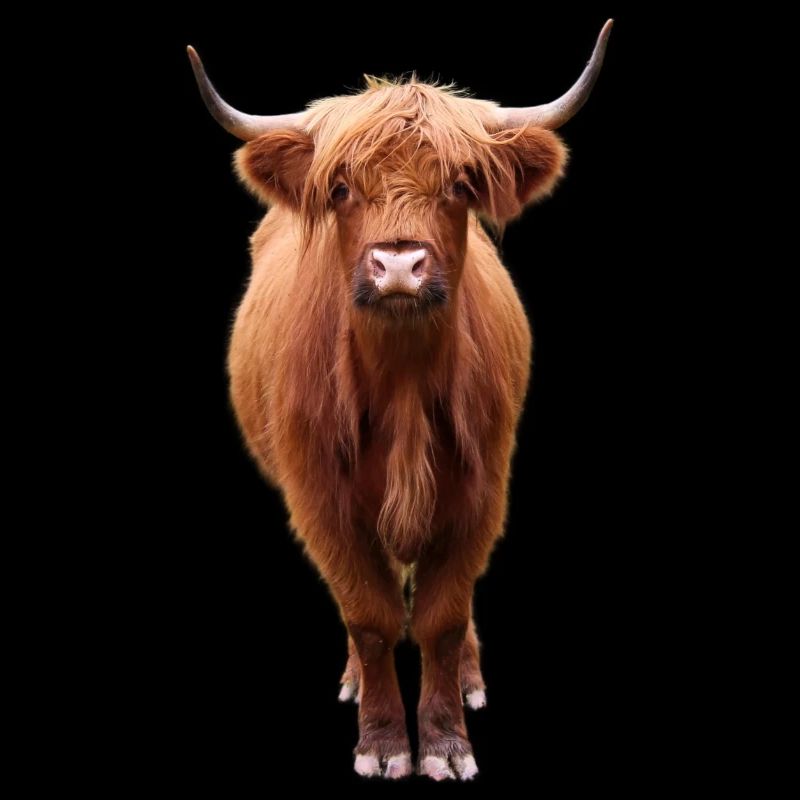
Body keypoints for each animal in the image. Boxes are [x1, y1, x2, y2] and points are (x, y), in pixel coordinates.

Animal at [188, 21, 611, 781]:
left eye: (462, 183)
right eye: (341, 188)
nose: (398, 266)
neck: (404, 385)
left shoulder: (481, 490)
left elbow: (443, 616)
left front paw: (444, 745)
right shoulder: (320, 500)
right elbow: (370, 613)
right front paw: (383, 743)